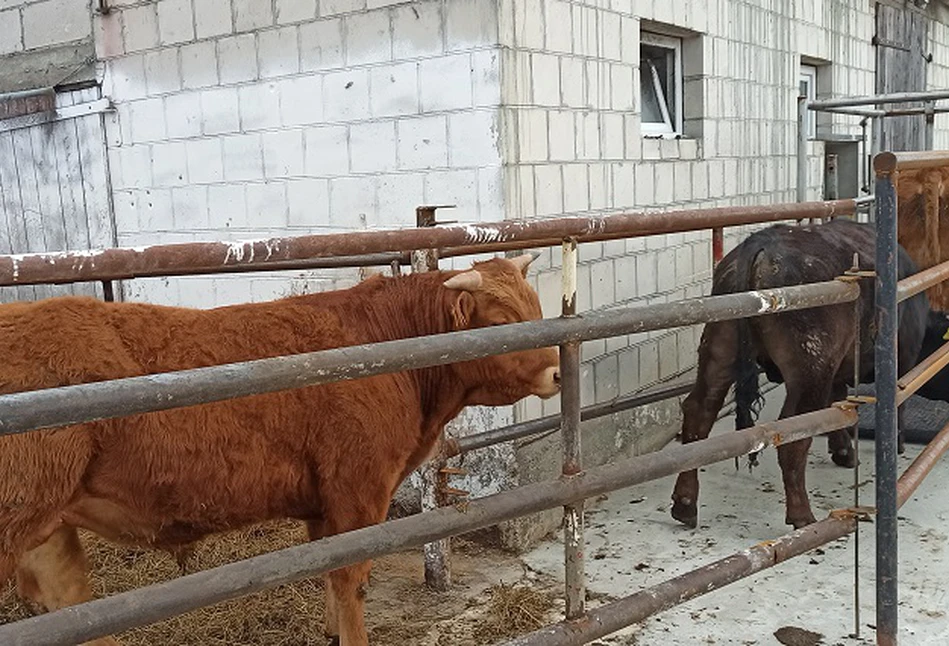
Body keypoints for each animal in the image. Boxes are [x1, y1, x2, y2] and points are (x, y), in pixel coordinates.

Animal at [0, 256, 560, 646]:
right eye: (503, 321)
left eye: (536, 309)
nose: (558, 372)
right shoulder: (359, 487)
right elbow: (351, 577)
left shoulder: (323, 503)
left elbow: (331, 577)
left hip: (49, 528)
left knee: (67, 604)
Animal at [672, 220, 936, 536]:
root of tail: (762, 243)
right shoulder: (901, 356)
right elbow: (898, 401)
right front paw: (894, 444)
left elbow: (838, 403)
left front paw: (843, 451)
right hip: (809, 372)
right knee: (793, 436)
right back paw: (802, 516)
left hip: (719, 350)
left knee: (699, 412)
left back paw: (685, 504)